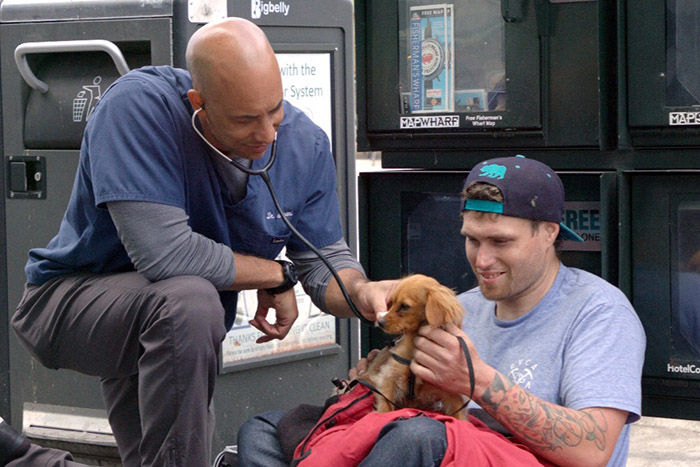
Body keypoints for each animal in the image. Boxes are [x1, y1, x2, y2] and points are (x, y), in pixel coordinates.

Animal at [364, 274, 468, 420]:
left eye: (405, 306)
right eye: (392, 302)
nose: (379, 322)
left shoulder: (452, 394)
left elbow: (459, 416)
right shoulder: (388, 378)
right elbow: (385, 406)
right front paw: (381, 416)